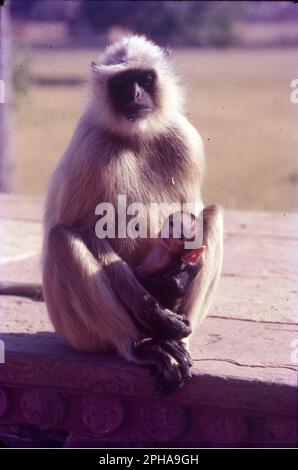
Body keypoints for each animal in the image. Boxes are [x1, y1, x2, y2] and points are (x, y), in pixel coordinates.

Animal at [39, 36, 222, 394]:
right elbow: (83, 228)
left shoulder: (185, 138)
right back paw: (142, 345)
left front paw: (178, 279)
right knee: (61, 237)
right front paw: (155, 313)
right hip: (73, 332)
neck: (136, 135)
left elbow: (193, 217)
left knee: (213, 213)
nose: (135, 95)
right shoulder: (89, 143)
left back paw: (178, 339)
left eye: (145, 79)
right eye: (122, 83)